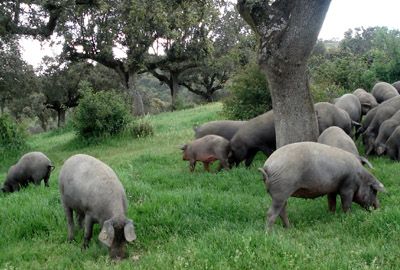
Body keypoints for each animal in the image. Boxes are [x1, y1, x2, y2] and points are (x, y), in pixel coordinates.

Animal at [258, 141, 386, 230]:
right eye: (374, 191)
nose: (379, 208)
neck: (360, 178)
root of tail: (266, 166)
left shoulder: (332, 190)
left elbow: (332, 203)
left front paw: (331, 216)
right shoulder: (347, 188)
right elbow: (346, 205)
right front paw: (348, 217)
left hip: (282, 195)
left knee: (282, 212)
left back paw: (288, 227)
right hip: (280, 192)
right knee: (272, 212)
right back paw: (269, 232)